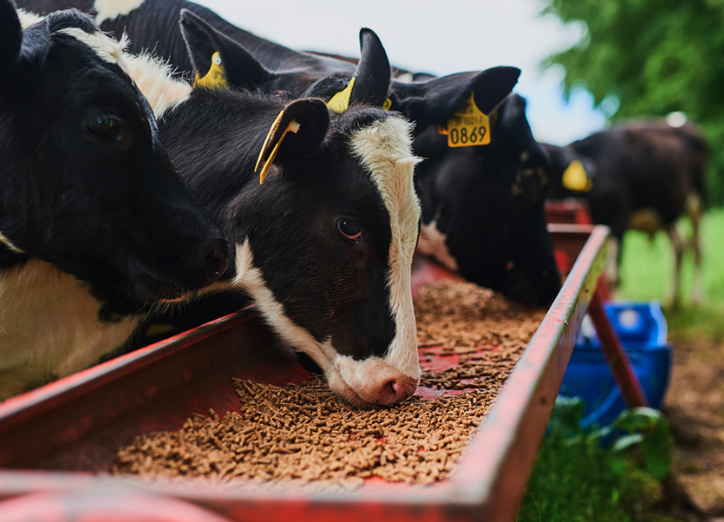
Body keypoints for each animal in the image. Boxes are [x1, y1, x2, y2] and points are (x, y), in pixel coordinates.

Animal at [544, 120, 704, 306]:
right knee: (679, 247)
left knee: (698, 248)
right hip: (669, 212)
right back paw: (672, 299)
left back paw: (697, 298)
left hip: (697, 203)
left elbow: (613, 275)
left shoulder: (618, 219)